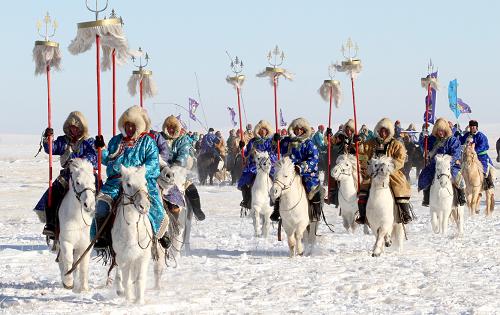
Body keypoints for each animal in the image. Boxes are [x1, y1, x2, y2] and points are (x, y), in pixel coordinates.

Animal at [57, 159, 95, 292]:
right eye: (78, 182)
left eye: (94, 181)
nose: (89, 204)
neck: (78, 219)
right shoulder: (65, 241)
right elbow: (67, 259)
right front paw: (68, 282)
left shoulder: (86, 245)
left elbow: (83, 265)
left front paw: (84, 288)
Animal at [113, 167, 164, 304]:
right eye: (128, 184)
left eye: (145, 183)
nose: (144, 206)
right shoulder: (124, 257)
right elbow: (126, 280)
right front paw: (128, 300)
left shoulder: (143, 256)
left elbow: (140, 278)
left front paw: (139, 301)